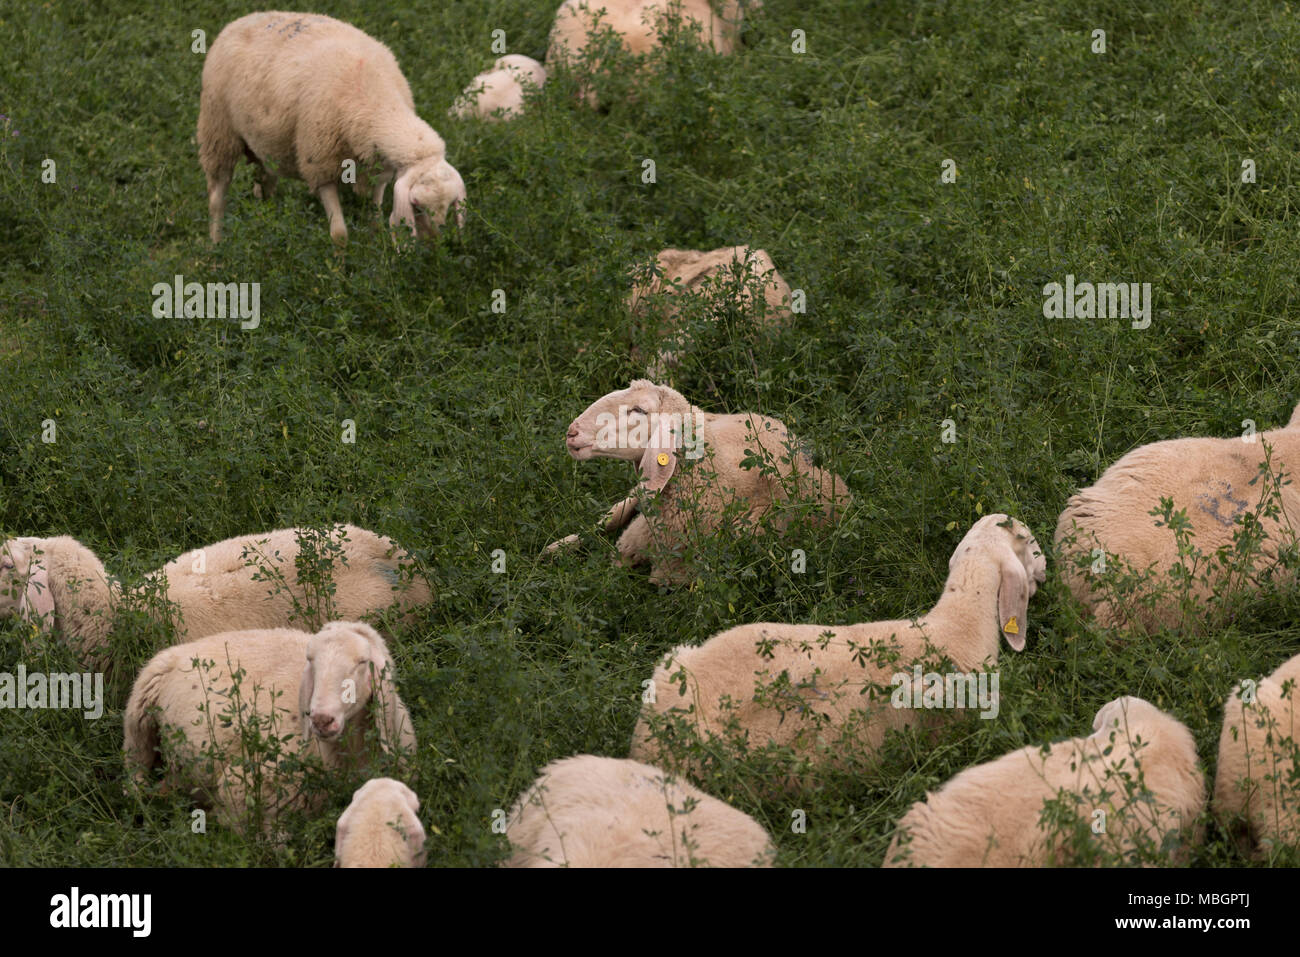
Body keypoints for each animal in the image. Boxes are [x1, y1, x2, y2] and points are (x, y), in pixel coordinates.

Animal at [123, 620, 416, 832]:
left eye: (362, 662)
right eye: (312, 662)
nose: (321, 719)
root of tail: (175, 655)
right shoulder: (243, 790)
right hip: (136, 734)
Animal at [198, 11, 466, 245]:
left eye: (449, 204)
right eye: (417, 205)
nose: (434, 244)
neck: (374, 100)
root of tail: (240, 20)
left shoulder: (380, 170)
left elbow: (376, 216)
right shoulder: (319, 166)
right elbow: (339, 234)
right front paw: (340, 267)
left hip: (262, 142)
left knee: (265, 181)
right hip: (218, 132)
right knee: (216, 197)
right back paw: (215, 245)